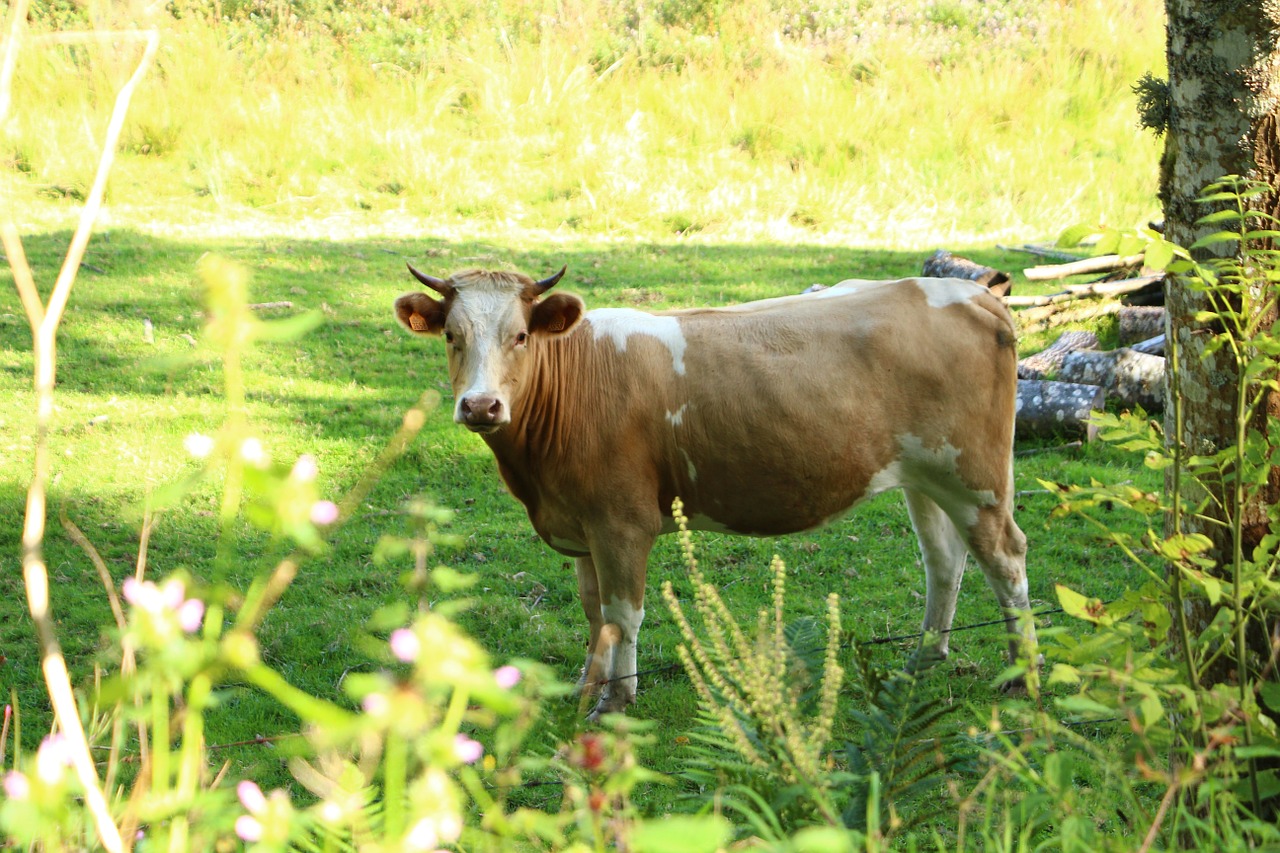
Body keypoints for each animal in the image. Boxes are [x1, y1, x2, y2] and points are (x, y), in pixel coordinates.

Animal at [396, 266, 1039, 717]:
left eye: (522, 335)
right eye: (452, 335)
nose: (481, 405)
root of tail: (971, 292)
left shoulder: (622, 520)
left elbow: (623, 613)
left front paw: (616, 701)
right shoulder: (580, 522)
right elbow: (593, 611)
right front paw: (585, 687)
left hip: (976, 476)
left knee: (1005, 556)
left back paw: (1021, 674)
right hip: (925, 476)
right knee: (944, 560)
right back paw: (925, 657)